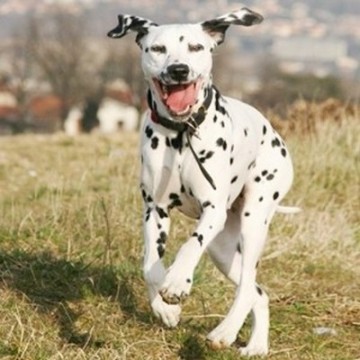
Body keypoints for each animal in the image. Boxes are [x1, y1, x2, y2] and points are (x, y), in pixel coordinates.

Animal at [107, 8, 298, 358]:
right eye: (158, 49)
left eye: (195, 47)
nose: (178, 70)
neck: (182, 133)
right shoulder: (154, 210)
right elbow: (150, 266)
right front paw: (165, 307)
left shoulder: (213, 210)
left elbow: (190, 244)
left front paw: (178, 281)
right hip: (223, 250)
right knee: (257, 291)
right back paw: (256, 344)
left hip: (254, 221)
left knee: (247, 284)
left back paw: (226, 332)